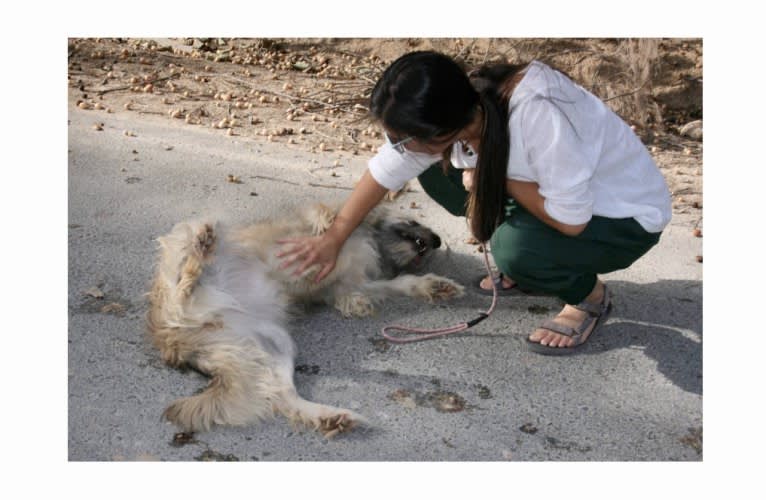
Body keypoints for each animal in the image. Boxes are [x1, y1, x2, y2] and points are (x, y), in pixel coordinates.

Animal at [147, 203, 464, 438]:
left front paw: (433, 286)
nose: (437, 240)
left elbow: (400, 283)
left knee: (282, 396)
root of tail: (173, 338)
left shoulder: (350, 284)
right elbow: (326, 217)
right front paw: (329, 222)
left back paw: (330, 417)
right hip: (183, 239)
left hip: (271, 345)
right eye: (412, 220)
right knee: (184, 278)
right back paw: (200, 252)